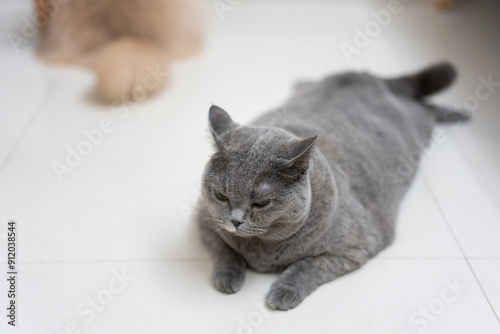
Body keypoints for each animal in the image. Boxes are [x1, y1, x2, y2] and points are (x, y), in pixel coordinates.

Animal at [194, 63, 468, 310]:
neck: (260, 249)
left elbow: (309, 265)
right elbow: (223, 250)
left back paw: (459, 114)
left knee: (424, 103)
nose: (235, 220)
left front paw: (284, 292)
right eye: (221, 196)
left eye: (260, 203)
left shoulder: (355, 246)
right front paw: (227, 277)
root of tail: (362, 75)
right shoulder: (203, 219)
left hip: (417, 122)